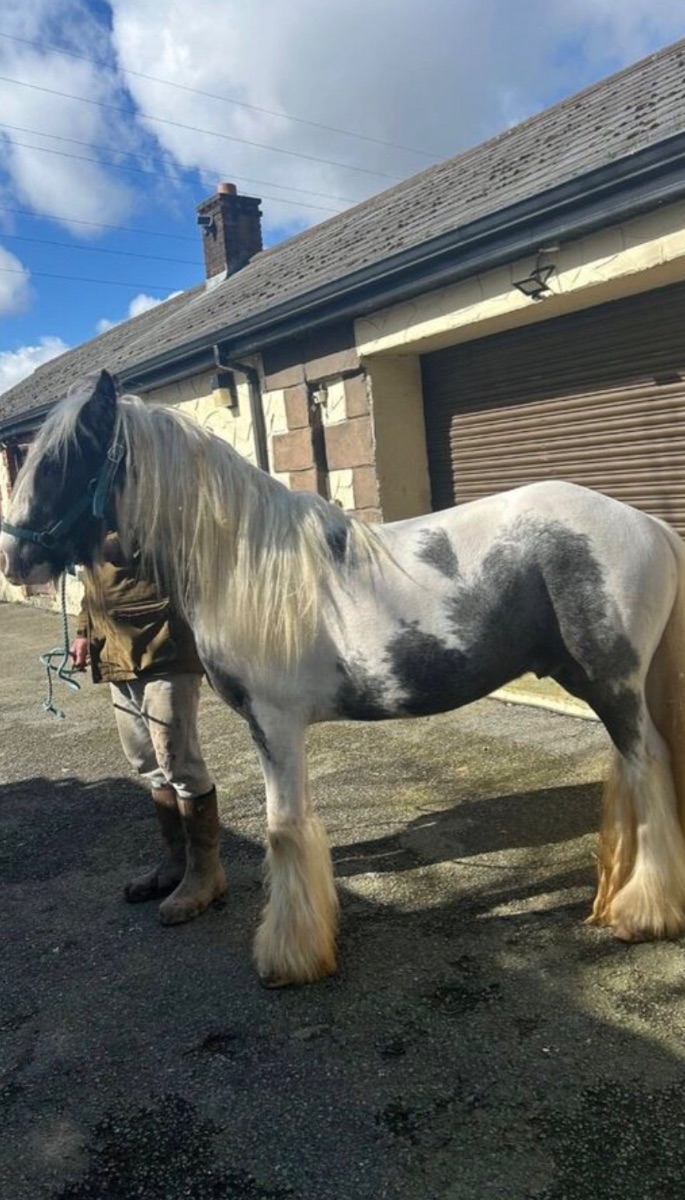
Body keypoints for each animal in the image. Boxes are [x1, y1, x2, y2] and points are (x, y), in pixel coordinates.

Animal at [3, 369, 685, 986]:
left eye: (59, 463)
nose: (14, 561)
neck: (244, 564)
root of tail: (648, 524)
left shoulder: (275, 725)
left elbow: (284, 830)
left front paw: (287, 957)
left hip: (613, 687)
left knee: (648, 769)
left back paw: (644, 914)